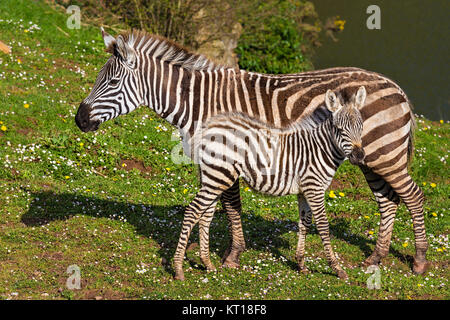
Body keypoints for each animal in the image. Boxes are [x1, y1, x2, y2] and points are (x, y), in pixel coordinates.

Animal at [76, 28, 428, 276]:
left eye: (112, 83)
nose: (79, 119)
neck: (199, 103)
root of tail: (397, 87)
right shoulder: (213, 159)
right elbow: (214, 206)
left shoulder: (229, 154)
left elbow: (231, 204)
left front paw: (231, 254)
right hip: (370, 158)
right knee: (388, 201)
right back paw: (375, 257)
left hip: (385, 154)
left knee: (413, 196)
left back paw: (420, 260)